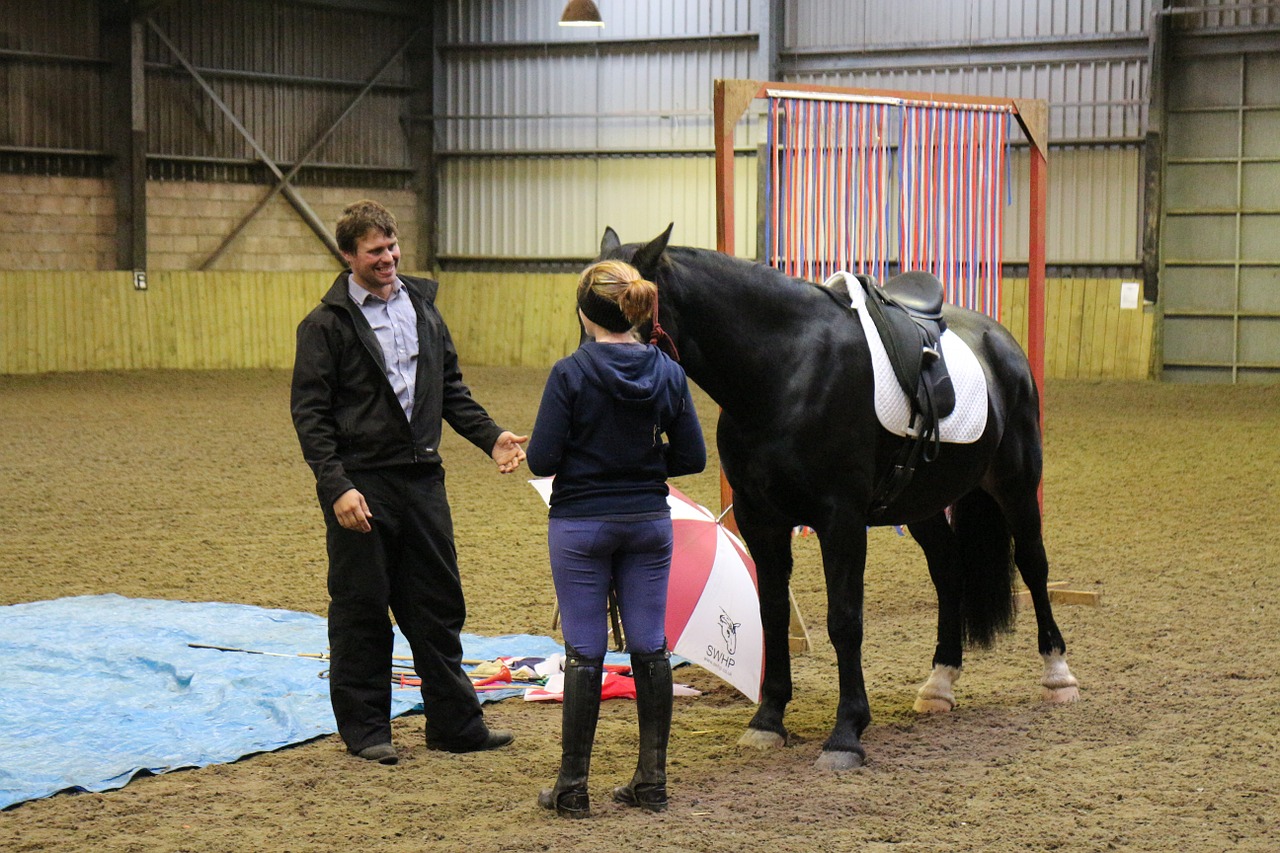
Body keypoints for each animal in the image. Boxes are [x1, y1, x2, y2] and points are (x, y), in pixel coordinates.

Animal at [599, 222, 1080, 768]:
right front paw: (768, 720)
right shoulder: (761, 519)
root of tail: (999, 341)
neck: (785, 370)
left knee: (1034, 565)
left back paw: (1057, 675)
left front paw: (847, 731)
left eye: (621, 314)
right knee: (949, 572)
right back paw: (940, 683)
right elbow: (771, 613)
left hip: (1016, 485)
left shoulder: (841, 520)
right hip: (924, 506)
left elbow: (845, 620)